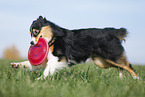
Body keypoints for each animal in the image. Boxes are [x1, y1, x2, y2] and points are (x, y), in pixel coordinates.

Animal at [10, 16, 138, 79]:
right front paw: (16, 65)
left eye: (36, 32)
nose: (31, 43)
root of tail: (111, 32)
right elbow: (28, 63)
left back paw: (137, 80)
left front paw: (40, 80)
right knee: (121, 67)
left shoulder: (57, 58)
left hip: (111, 56)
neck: (53, 38)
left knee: (128, 66)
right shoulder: (45, 60)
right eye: (30, 33)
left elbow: (47, 70)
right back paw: (121, 79)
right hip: (101, 62)